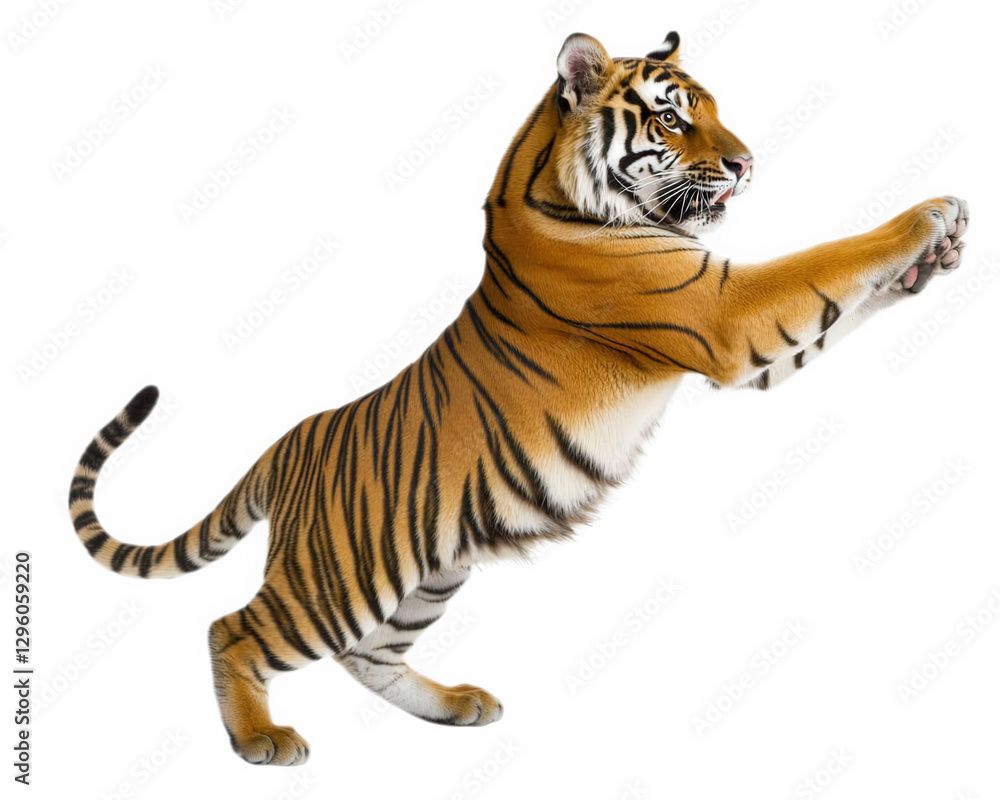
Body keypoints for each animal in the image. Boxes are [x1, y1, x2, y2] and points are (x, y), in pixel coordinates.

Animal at [69, 30, 968, 766]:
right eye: (674, 120)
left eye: (714, 111)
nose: (748, 165)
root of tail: (290, 441)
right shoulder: (719, 311)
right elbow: (829, 260)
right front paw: (930, 214)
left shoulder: (739, 334)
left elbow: (842, 303)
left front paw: (937, 256)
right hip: (337, 576)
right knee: (235, 628)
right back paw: (259, 740)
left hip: (425, 570)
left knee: (370, 655)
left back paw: (453, 708)